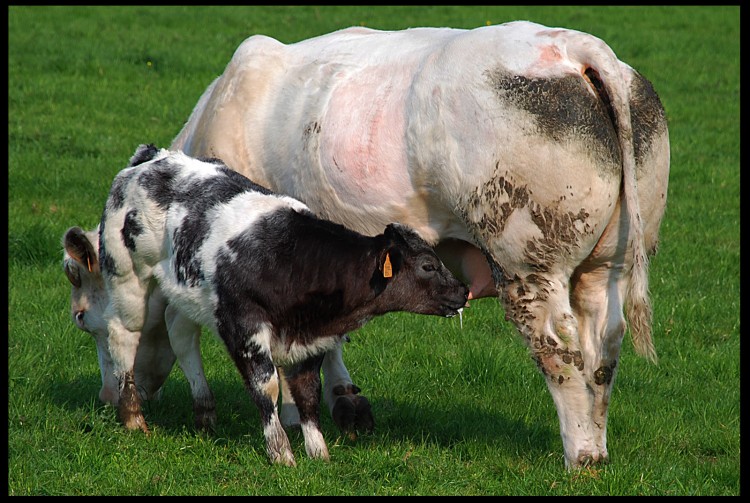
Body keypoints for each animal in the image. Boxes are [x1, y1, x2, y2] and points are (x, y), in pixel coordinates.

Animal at [97, 144, 468, 466]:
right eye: (428, 266)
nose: (463, 291)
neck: (292, 259)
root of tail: (153, 156)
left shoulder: (312, 339)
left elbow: (308, 392)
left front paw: (318, 453)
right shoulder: (243, 327)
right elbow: (268, 387)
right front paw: (281, 453)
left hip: (186, 291)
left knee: (182, 335)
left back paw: (205, 412)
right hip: (126, 273)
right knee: (123, 333)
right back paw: (132, 416)